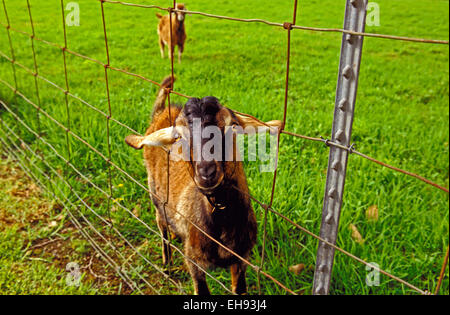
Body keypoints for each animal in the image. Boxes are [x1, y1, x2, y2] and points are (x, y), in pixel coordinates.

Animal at [125, 76, 282, 296]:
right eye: (179, 136)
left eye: (233, 126)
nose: (206, 173)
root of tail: (163, 112)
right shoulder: (193, 261)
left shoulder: (242, 257)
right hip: (154, 195)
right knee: (161, 224)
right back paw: (167, 263)